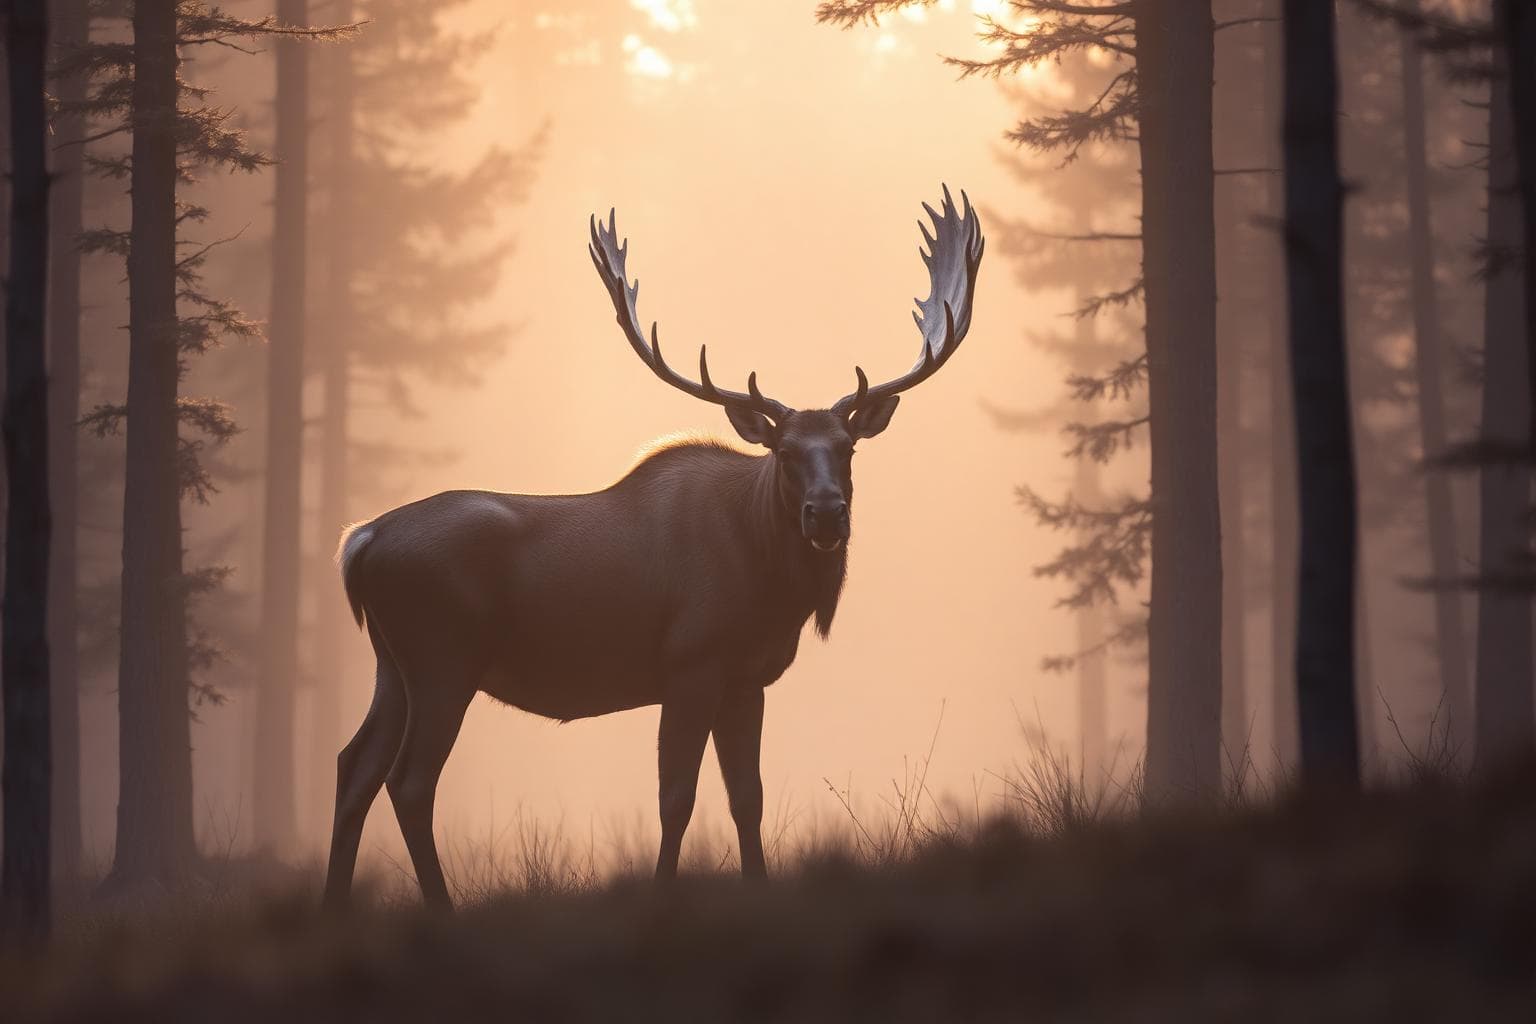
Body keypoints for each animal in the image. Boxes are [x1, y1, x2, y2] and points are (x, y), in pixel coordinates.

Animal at [320, 187, 984, 909]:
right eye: (784, 452)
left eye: (847, 448)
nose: (828, 512)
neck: (769, 589)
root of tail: (361, 542)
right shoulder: (691, 663)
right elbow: (677, 799)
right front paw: (664, 896)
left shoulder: (746, 679)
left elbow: (746, 799)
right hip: (444, 658)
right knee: (409, 782)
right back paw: (439, 909)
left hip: (393, 664)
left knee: (353, 765)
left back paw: (334, 905)